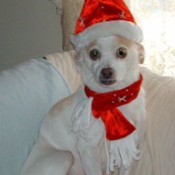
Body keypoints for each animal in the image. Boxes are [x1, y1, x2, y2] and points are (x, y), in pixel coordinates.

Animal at [20, 34, 146, 175]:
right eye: (94, 54)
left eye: (122, 52)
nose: (106, 72)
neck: (113, 98)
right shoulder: (88, 148)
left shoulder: (127, 151)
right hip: (64, 156)